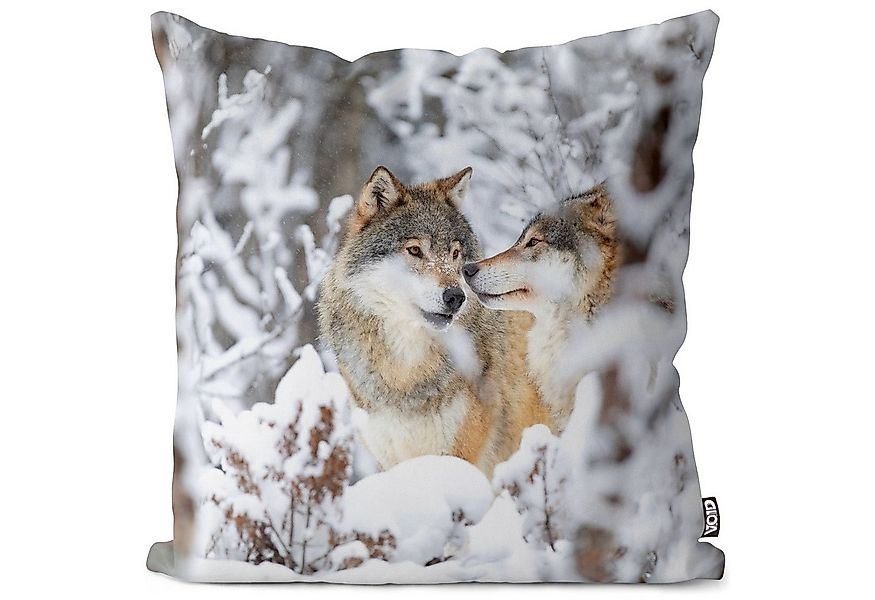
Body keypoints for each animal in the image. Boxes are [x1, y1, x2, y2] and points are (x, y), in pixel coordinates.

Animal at [317, 166, 550, 475]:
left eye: (455, 254)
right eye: (415, 250)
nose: (456, 296)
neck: (405, 375)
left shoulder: (458, 456)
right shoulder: (390, 459)